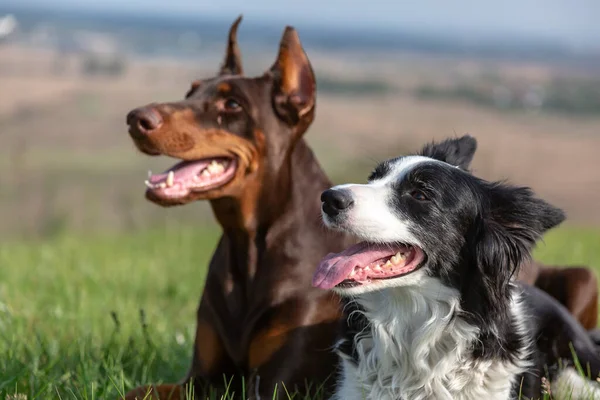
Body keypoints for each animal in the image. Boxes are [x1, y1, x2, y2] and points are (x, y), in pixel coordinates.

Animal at [122, 15, 596, 396]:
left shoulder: (273, 385)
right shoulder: (203, 378)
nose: (330, 199)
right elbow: (139, 392)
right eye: (374, 176)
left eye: (420, 194)